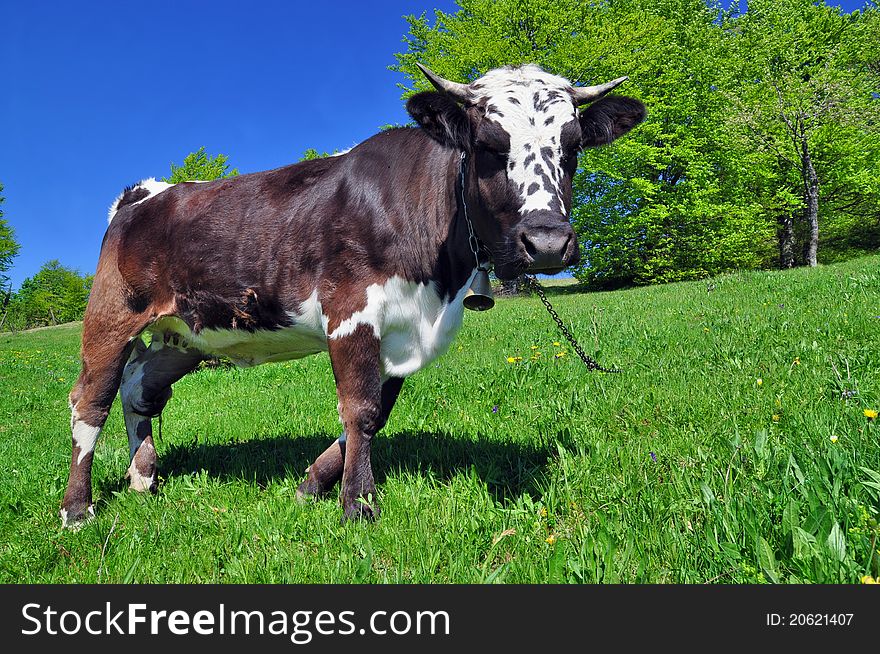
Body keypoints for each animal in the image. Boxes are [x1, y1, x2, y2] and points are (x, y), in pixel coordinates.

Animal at [58, 64, 644, 528]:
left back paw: (143, 478)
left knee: (139, 388)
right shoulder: (351, 310)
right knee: (90, 401)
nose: (547, 242)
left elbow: (374, 415)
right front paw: (357, 505)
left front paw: (310, 486)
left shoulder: (402, 329)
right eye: (486, 146)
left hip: (185, 334)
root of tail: (145, 194)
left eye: (572, 147)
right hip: (112, 315)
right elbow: (358, 410)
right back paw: (77, 509)